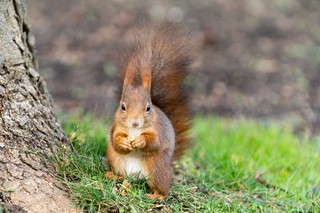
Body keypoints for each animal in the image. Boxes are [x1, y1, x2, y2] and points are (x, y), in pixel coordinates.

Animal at [106, 23, 194, 200]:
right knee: (122, 175)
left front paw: (141, 141)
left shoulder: (158, 129)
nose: (135, 122)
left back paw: (157, 195)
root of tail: (136, 177)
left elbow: (155, 142)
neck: (134, 130)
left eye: (148, 108)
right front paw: (123, 142)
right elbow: (115, 140)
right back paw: (113, 176)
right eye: (123, 106)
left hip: (156, 167)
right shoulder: (116, 127)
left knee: (165, 188)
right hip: (116, 160)